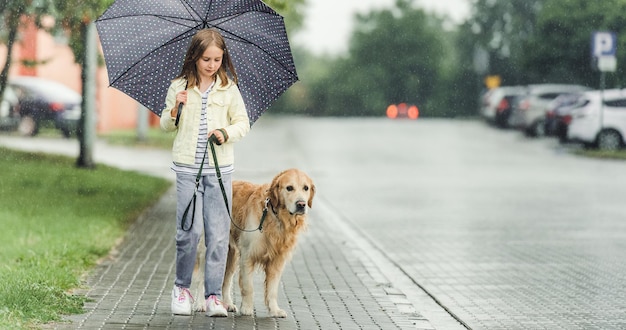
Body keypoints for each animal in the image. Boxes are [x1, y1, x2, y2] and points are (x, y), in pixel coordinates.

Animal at [189, 169, 314, 318]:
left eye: (306, 188)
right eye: (289, 188)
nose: (301, 204)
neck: (274, 215)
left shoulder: (277, 261)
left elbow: (272, 290)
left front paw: (275, 310)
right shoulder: (247, 255)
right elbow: (248, 286)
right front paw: (247, 308)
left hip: (231, 254)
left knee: (226, 280)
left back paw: (228, 304)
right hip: (207, 248)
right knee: (201, 278)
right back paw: (200, 304)